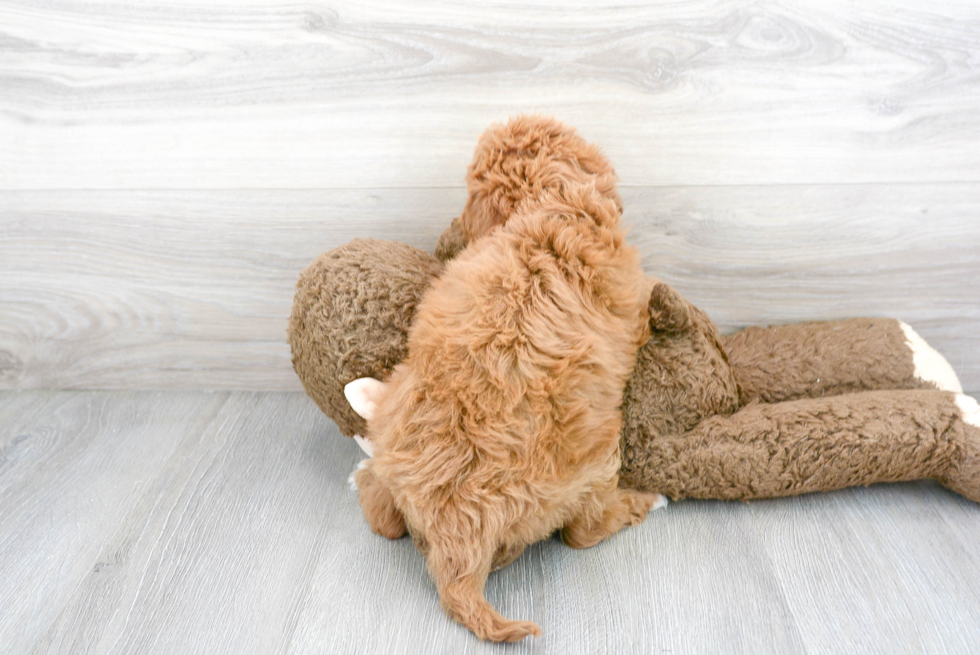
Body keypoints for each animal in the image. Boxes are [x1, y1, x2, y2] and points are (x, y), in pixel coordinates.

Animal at [352, 184, 660, 640]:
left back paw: (363, 472)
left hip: (394, 429)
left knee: (382, 514)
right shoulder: (627, 294)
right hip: (592, 466)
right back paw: (643, 502)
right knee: (584, 530)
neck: (550, 212)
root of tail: (455, 538)